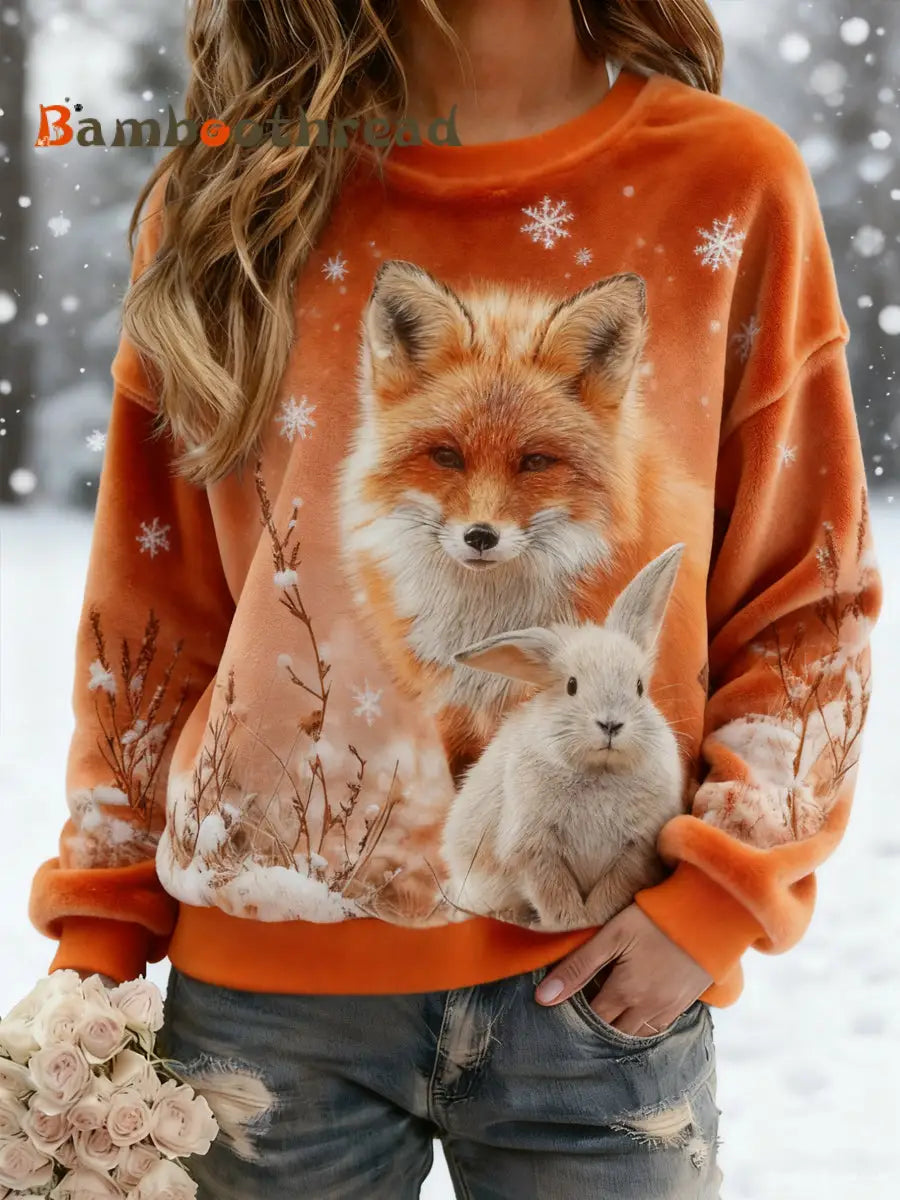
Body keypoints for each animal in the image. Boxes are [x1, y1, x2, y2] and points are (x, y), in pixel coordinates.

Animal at [439, 543, 686, 931]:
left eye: (639, 687)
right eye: (571, 686)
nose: (611, 724)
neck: (600, 771)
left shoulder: (636, 850)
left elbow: (611, 891)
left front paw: (591, 921)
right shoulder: (534, 849)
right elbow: (554, 893)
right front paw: (569, 926)